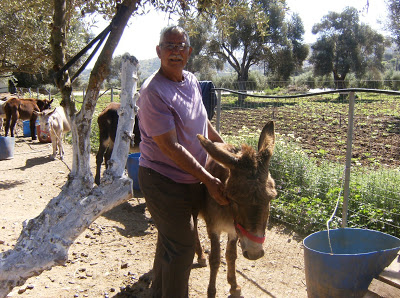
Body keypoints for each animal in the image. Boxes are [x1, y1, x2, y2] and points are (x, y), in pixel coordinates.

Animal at [195, 120, 276, 296]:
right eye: (234, 200)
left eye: (271, 198)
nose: (254, 253)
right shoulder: (214, 228)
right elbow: (215, 259)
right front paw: (211, 291)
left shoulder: (234, 230)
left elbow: (231, 256)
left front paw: (234, 286)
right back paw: (200, 256)